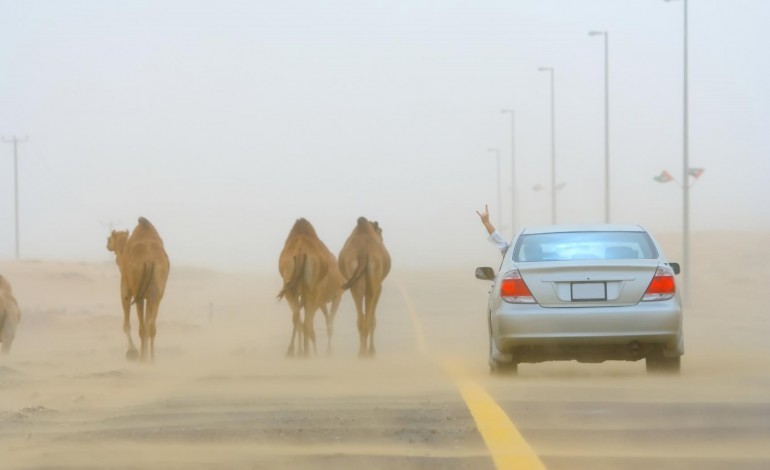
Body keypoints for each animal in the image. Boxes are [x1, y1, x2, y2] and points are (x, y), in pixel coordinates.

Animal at [106, 218, 169, 362]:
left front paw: (132, 352)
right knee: (151, 327)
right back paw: (151, 359)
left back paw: (141, 358)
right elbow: (147, 322)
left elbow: (126, 325)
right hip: (156, 294)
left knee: (142, 328)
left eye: (110, 238)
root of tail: (150, 260)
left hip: (138, 293)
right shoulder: (148, 296)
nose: (107, 244)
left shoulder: (125, 289)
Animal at [278, 219, 344, 356]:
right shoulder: (336, 295)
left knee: (298, 319)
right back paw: (306, 353)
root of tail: (299, 251)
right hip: (312, 292)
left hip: (290, 288)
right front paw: (328, 352)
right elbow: (329, 324)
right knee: (307, 323)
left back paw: (295, 351)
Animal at [338, 217, 390, 356]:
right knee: (368, 320)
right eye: (380, 231)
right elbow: (372, 319)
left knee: (361, 318)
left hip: (353, 281)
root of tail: (362, 252)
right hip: (373, 279)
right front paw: (372, 351)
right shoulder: (379, 287)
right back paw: (367, 353)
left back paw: (361, 353)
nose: (382, 238)